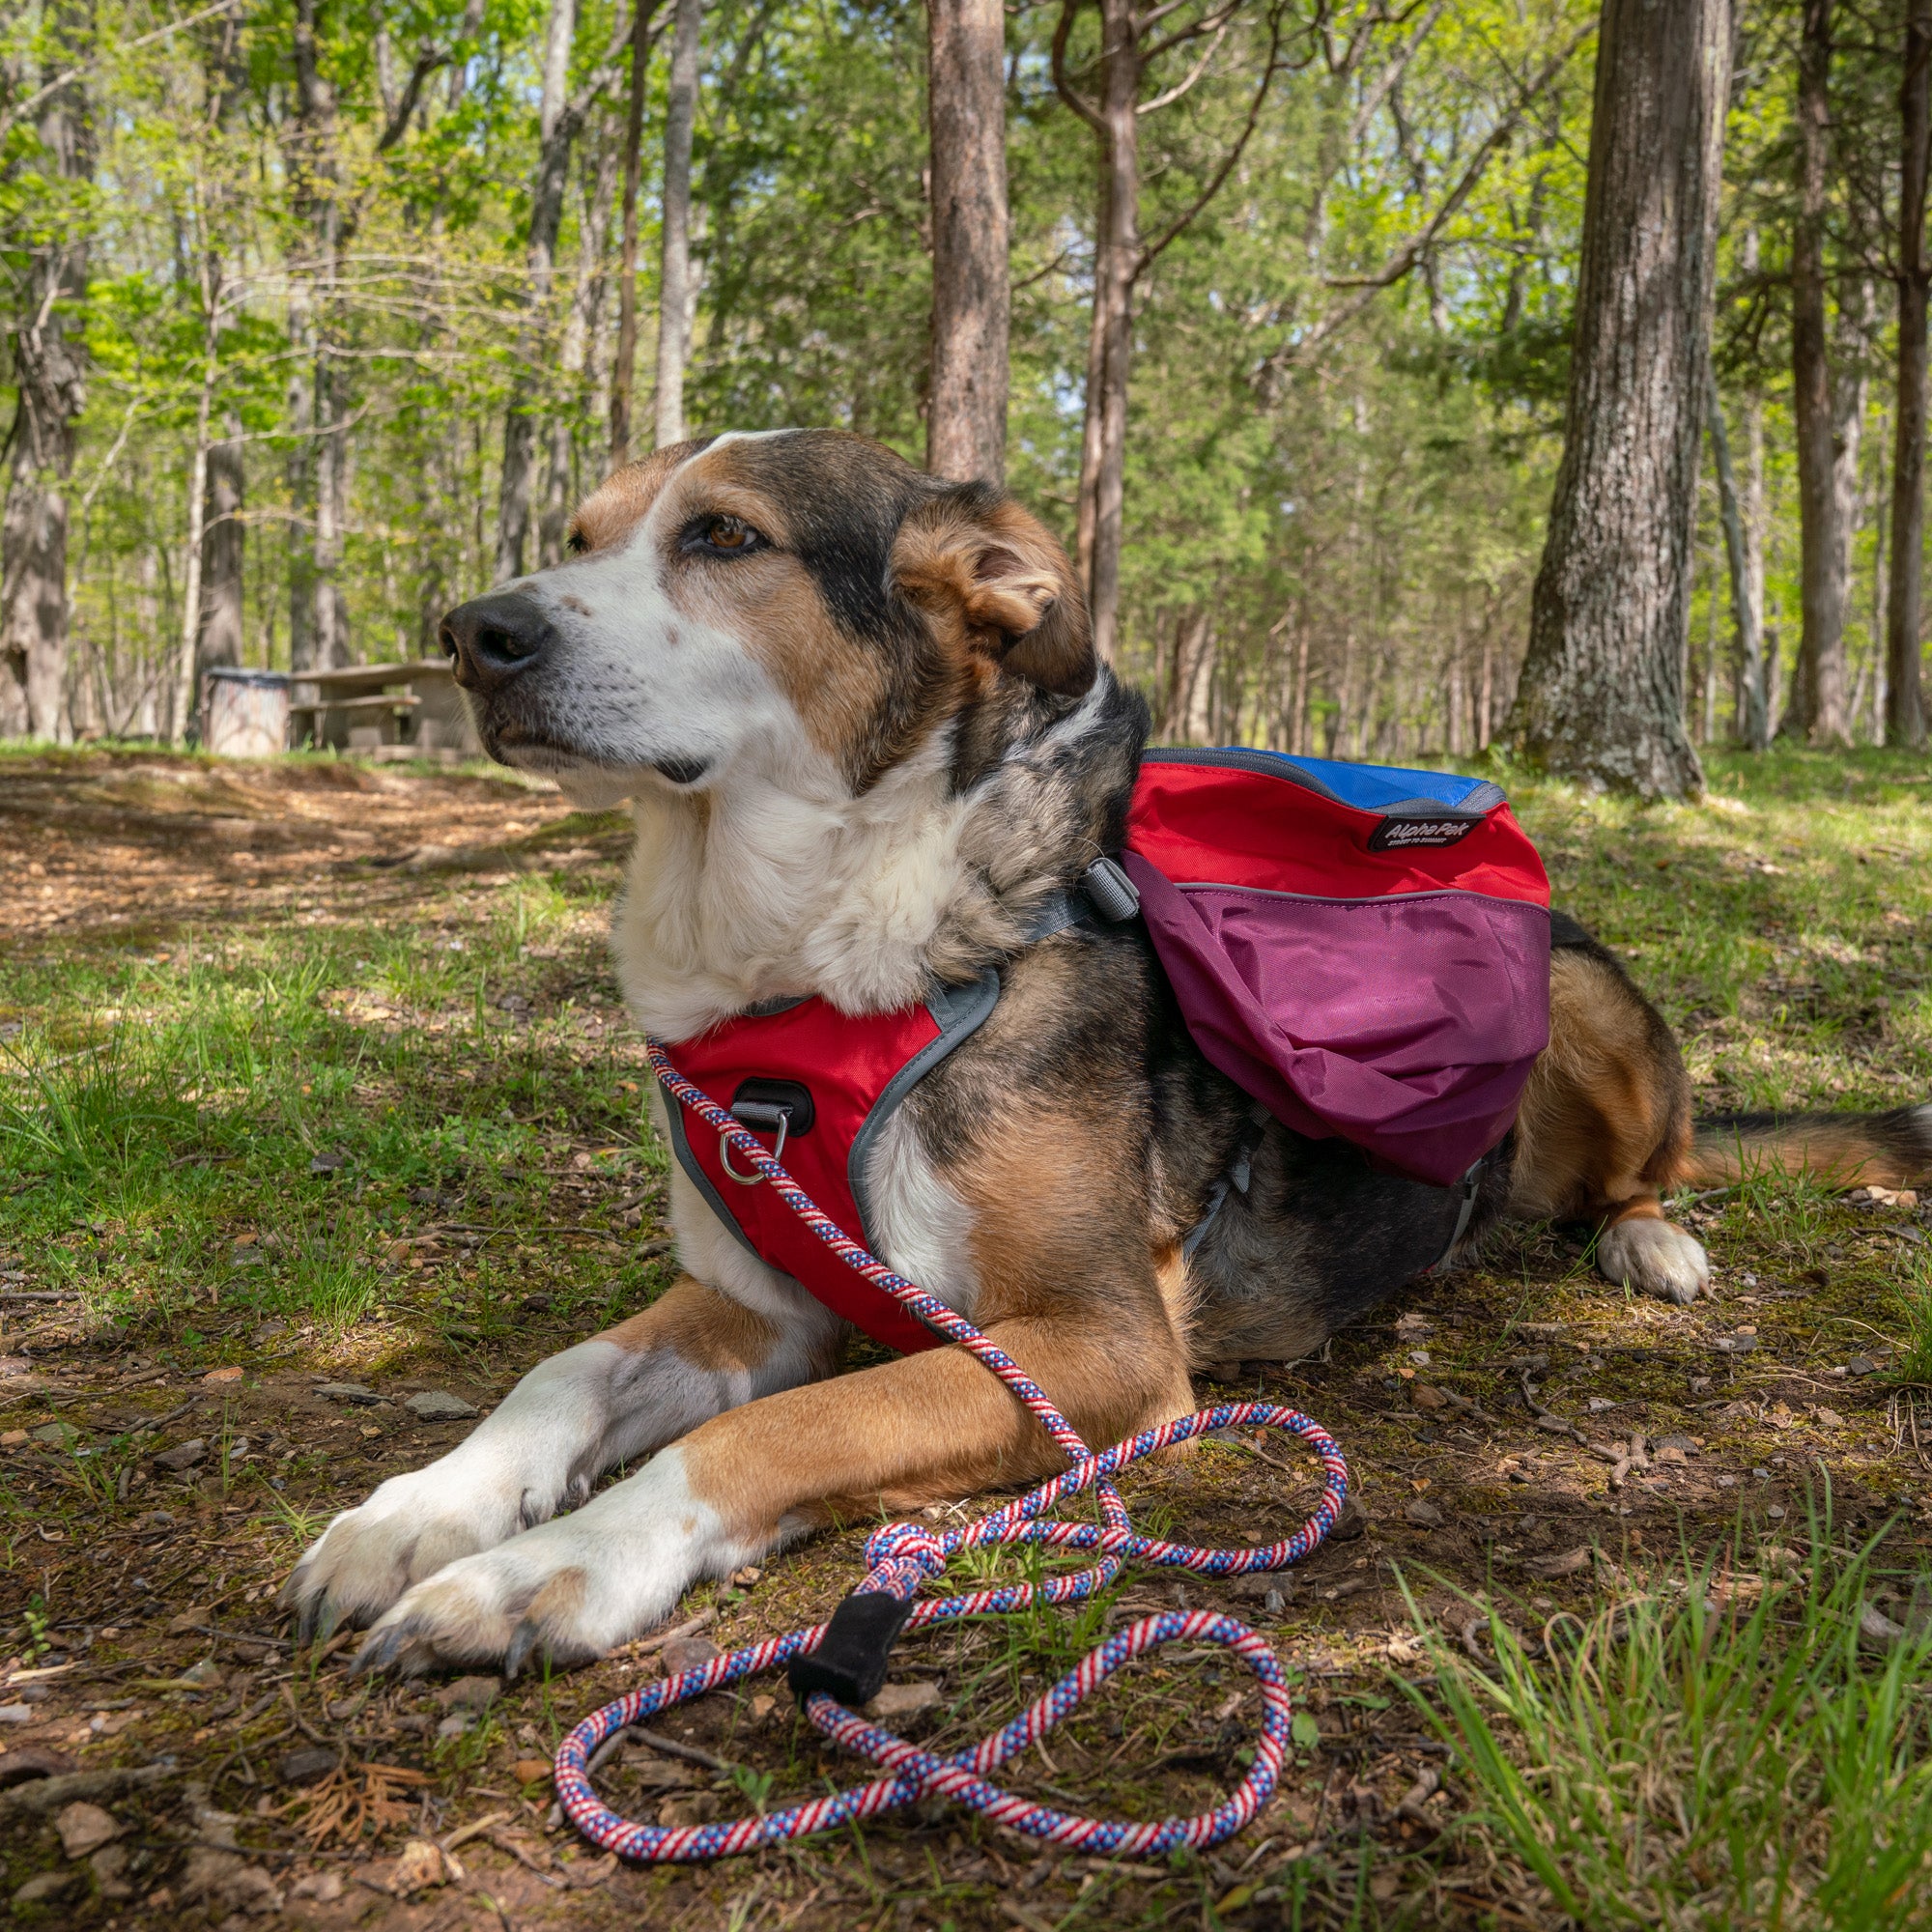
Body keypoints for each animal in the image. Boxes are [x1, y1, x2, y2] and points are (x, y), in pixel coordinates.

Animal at [282, 431, 1932, 1669]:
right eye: (582, 533)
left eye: (726, 537)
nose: (473, 634)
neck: (818, 970)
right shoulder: (756, 1300)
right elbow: (558, 1375)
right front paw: (423, 1513)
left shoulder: (1092, 1347)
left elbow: (780, 1431)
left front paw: (544, 1573)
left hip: (1591, 1002)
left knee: (1656, 1167)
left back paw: (1648, 1242)